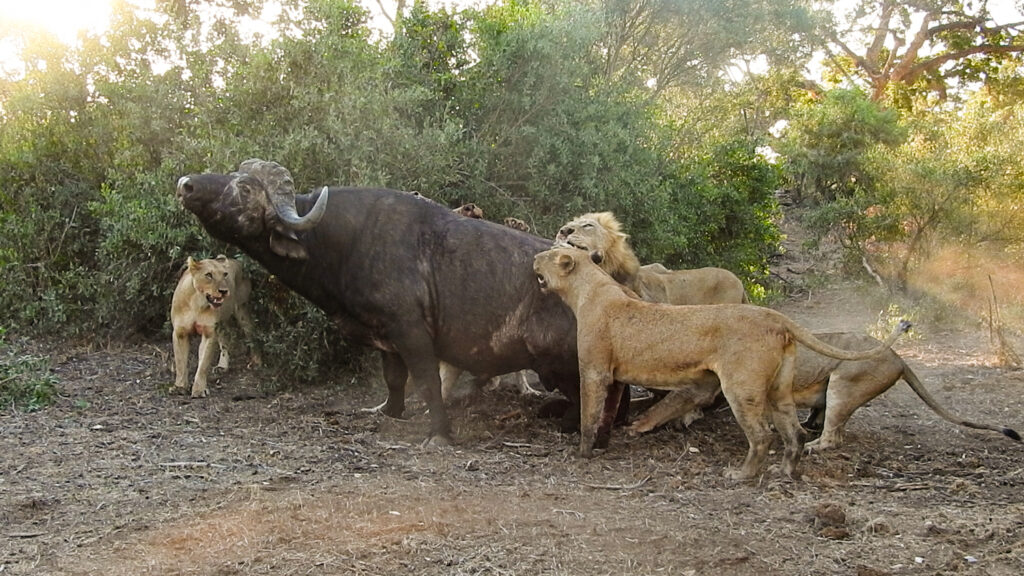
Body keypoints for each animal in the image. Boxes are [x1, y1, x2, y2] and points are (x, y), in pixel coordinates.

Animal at [169, 254, 253, 393]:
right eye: (208, 275)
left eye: (225, 274)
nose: (224, 291)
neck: (197, 303)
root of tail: (236, 260)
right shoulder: (180, 333)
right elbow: (180, 362)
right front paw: (180, 387)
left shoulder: (208, 333)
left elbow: (203, 363)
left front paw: (199, 390)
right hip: (220, 325)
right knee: (225, 340)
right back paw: (222, 366)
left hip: (242, 309)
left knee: (252, 333)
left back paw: (257, 362)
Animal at [532, 249, 909, 477]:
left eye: (549, 255)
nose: (534, 257)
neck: (589, 289)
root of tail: (775, 317)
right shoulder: (616, 374)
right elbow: (611, 412)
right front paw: (606, 441)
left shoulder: (595, 370)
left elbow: (589, 413)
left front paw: (582, 452)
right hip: (779, 390)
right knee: (796, 433)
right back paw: (785, 471)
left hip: (741, 387)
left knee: (762, 436)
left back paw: (741, 475)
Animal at [622, 332, 1015, 448]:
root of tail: (899, 358)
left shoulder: (706, 385)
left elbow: (672, 402)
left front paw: (643, 423)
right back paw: (807, 428)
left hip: (845, 384)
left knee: (834, 438)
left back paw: (810, 444)